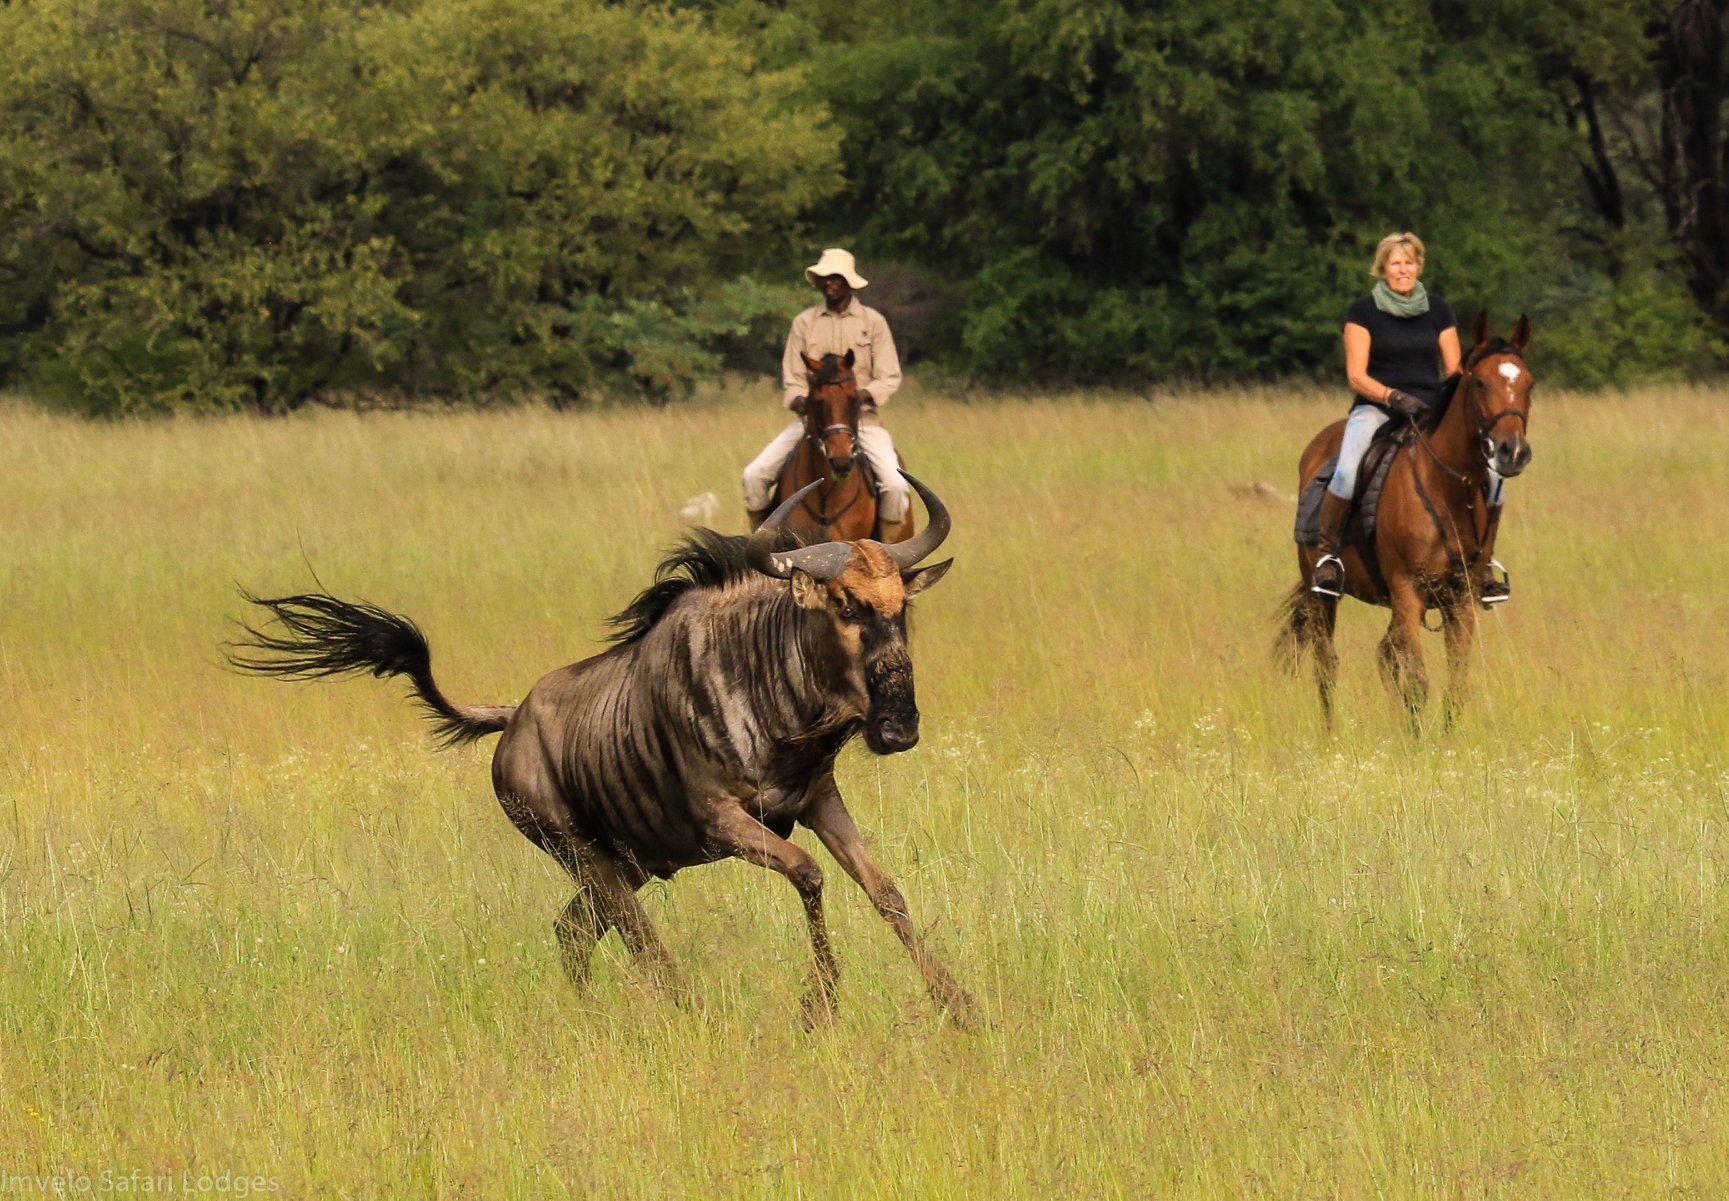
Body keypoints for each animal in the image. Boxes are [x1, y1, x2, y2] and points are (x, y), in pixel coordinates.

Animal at [1279, 314, 1535, 729]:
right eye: (1479, 382)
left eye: (1529, 383)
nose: (1512, 452)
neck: (1447, 486)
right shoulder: (1406, 591)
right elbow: (1417, 681)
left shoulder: (1459, 599)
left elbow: (1455, 683)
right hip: (1322, 595)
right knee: (1327, 665)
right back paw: (1330, 734)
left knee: (1384, 655)